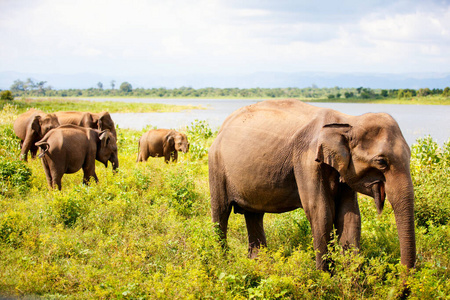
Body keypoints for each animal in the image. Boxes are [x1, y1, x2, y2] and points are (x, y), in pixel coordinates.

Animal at [209, 99, 416, 270]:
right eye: (381, 162)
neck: (347, 121)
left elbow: (350, 215)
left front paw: (351, 279)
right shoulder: (307, 161)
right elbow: (321, 211)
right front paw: (325, 277)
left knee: (254, 215)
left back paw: (259, 264)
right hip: (216, 165)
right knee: (221, 213)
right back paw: (223, 261)